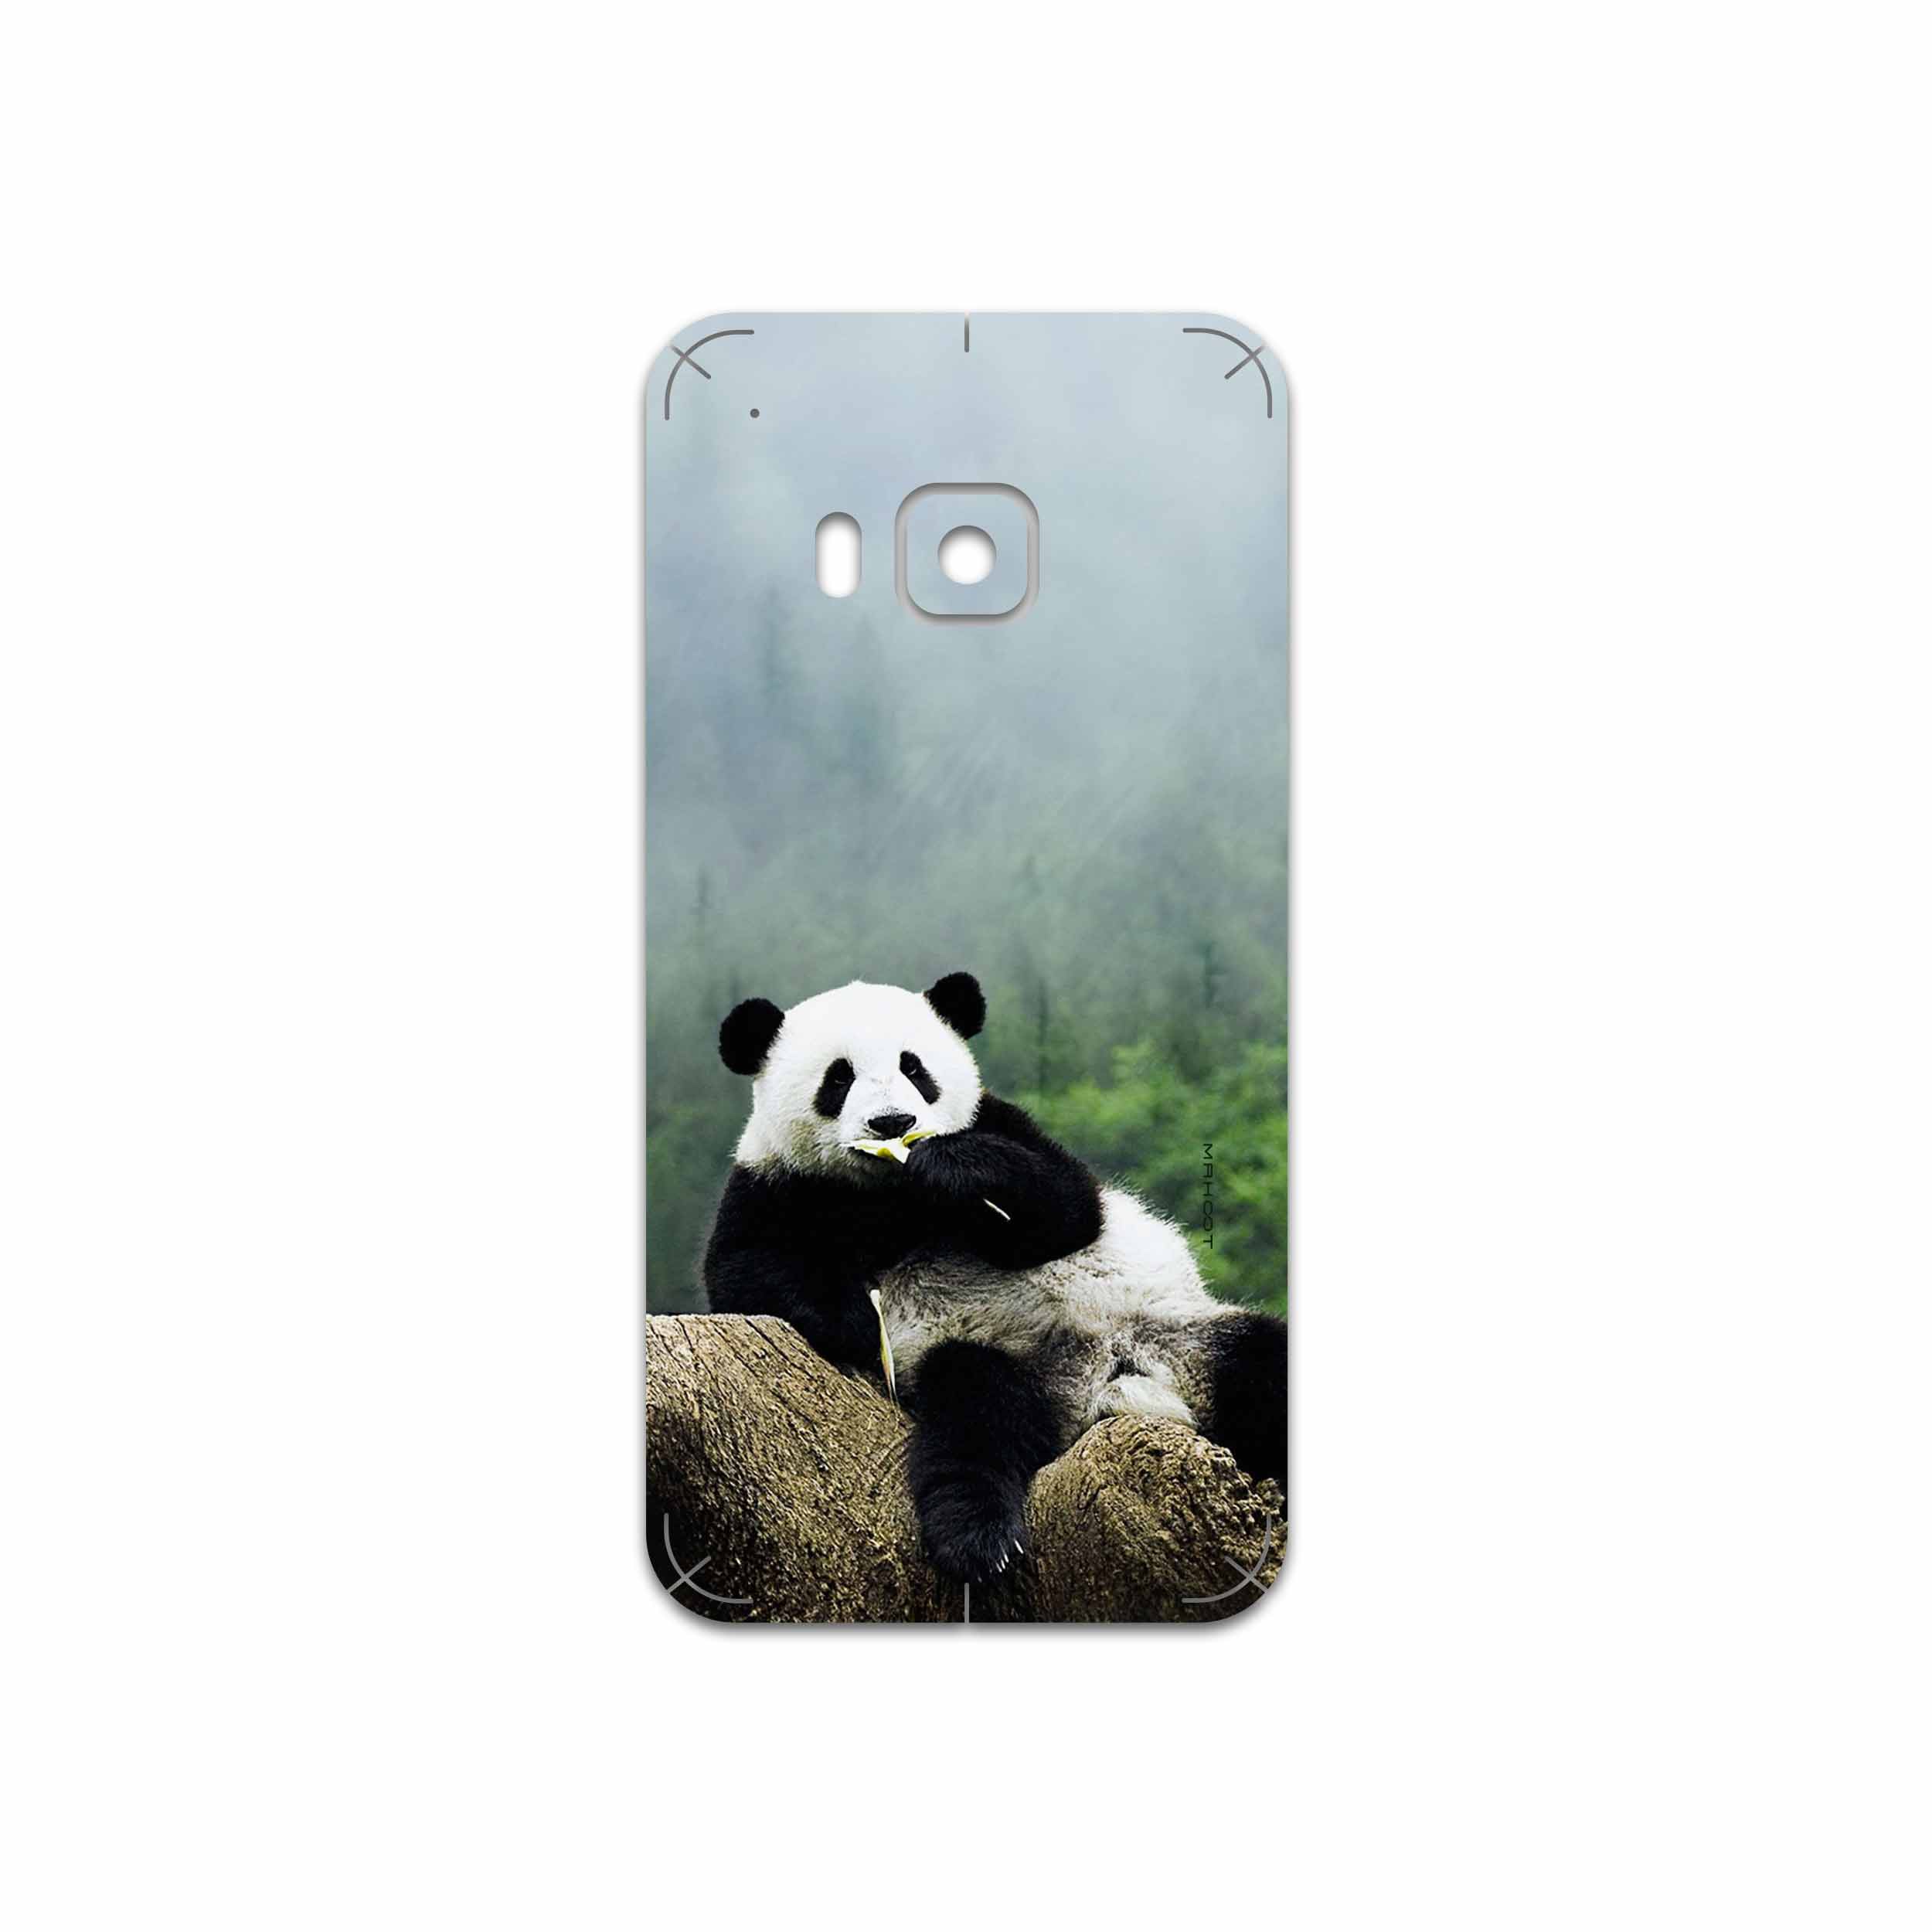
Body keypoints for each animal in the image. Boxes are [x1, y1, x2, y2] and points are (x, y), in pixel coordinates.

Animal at [703, 971, 1287, 1583]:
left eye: (915, 1068)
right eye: (839, 1077)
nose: (893, 1123)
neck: (889, 1194)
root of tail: (1104, 1384)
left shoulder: (1000, 1123)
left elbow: (1068, 1207)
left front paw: (951, 1168)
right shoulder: (774, 1184)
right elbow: (744, 1269)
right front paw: (858, 1320)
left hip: (1180, 1334)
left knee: (1263, 1364)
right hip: (990, 1358)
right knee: (975, 1422)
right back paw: (979, 1540)